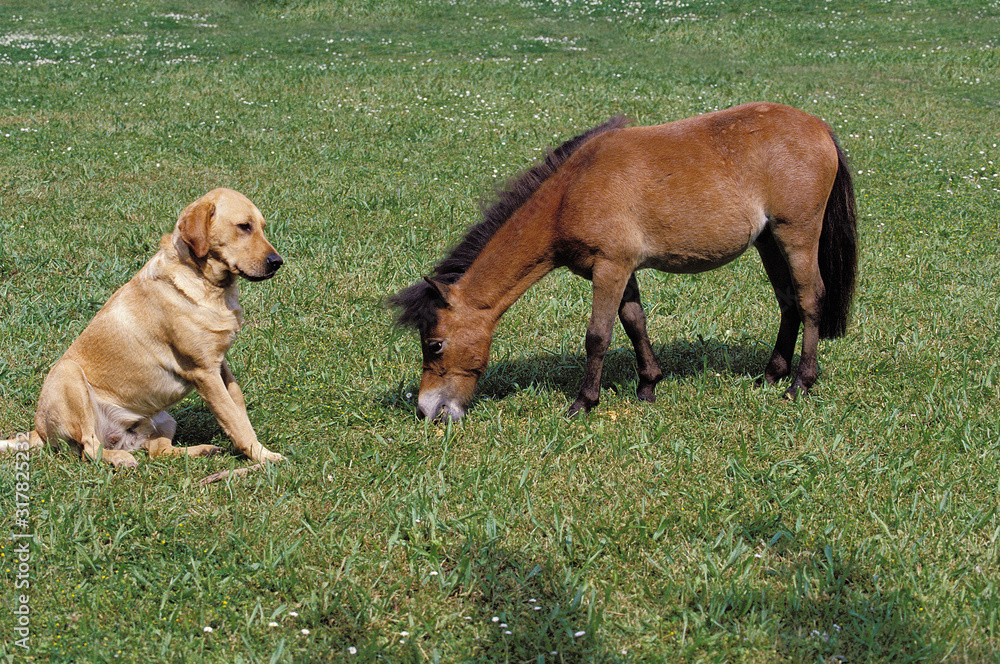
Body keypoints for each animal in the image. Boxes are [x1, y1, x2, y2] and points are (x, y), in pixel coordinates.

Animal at [390, 102, 857, 421]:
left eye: (434, 344)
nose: (426, 410)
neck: (572, 191)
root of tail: (819, 127)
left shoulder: (610, 268)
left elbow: (598, 336)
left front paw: (583, 403)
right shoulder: (623, 269)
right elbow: (635, 322)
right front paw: (648, 386)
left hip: (797, 235)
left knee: (810, 298)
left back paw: (800, 384)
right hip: (769, 242)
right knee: (788, 302)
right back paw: (770, 375)